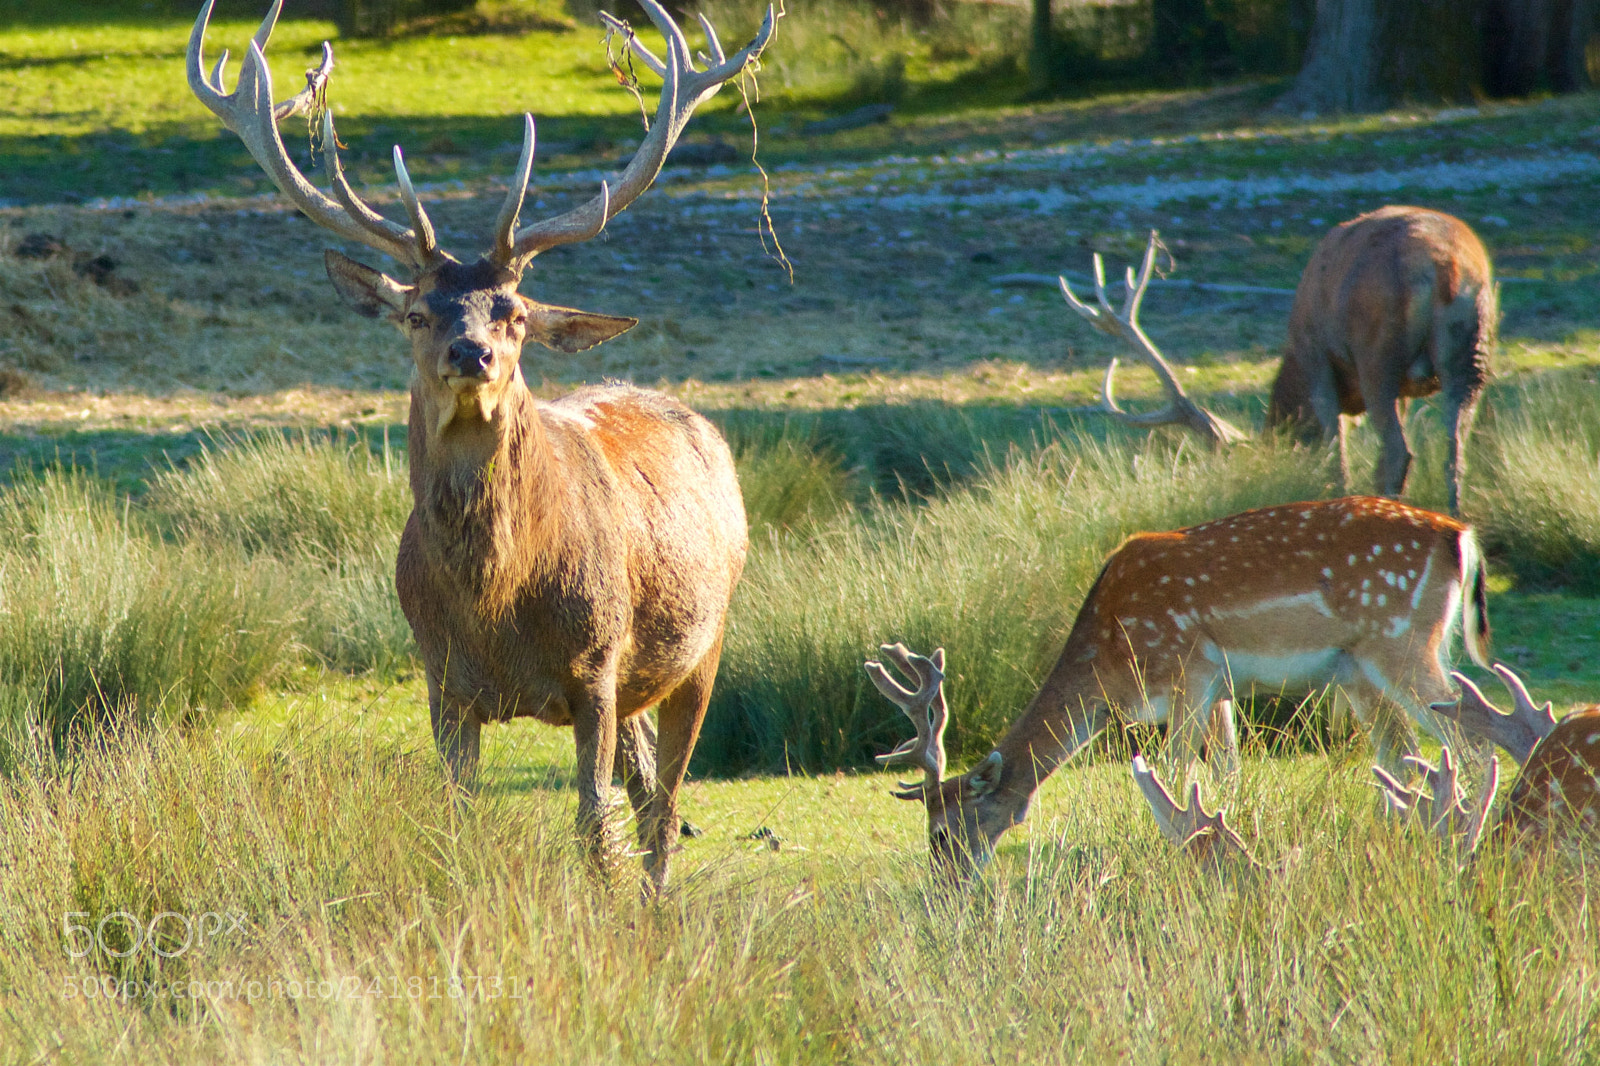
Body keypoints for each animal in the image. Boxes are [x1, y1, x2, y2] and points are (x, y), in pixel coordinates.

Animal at [188, 0, 773, 892]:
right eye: (416, 314)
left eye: (516, 313)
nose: (473, 354)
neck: (497, 607)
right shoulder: (440, 680)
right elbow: (459, 821)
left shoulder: (596, 666)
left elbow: (590, 825)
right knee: (647, 790)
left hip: (701, 645)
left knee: (664, 807)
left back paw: (654, 899)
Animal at [865, 495, 1491, 878]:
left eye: (943, 832)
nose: (946, 887)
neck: (1112, 659)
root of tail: (1460, 537)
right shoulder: (1221, 690)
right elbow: (1227, 774)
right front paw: (1232, 843)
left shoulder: (1189, 667)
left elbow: (1172, 772)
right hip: (1360, 668)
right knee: (1404, 755)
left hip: (1401, 642)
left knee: (1473, 745)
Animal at [1266, 206, 1497, 517]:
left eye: (1286, 427)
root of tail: (1445, 267)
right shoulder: (1403, 391)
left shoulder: (1316, 359)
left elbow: (1335, 443)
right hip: (1470, 356)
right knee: (1454, 450)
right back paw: (1454, 513)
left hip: (1377, 356)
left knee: (1399, 451)